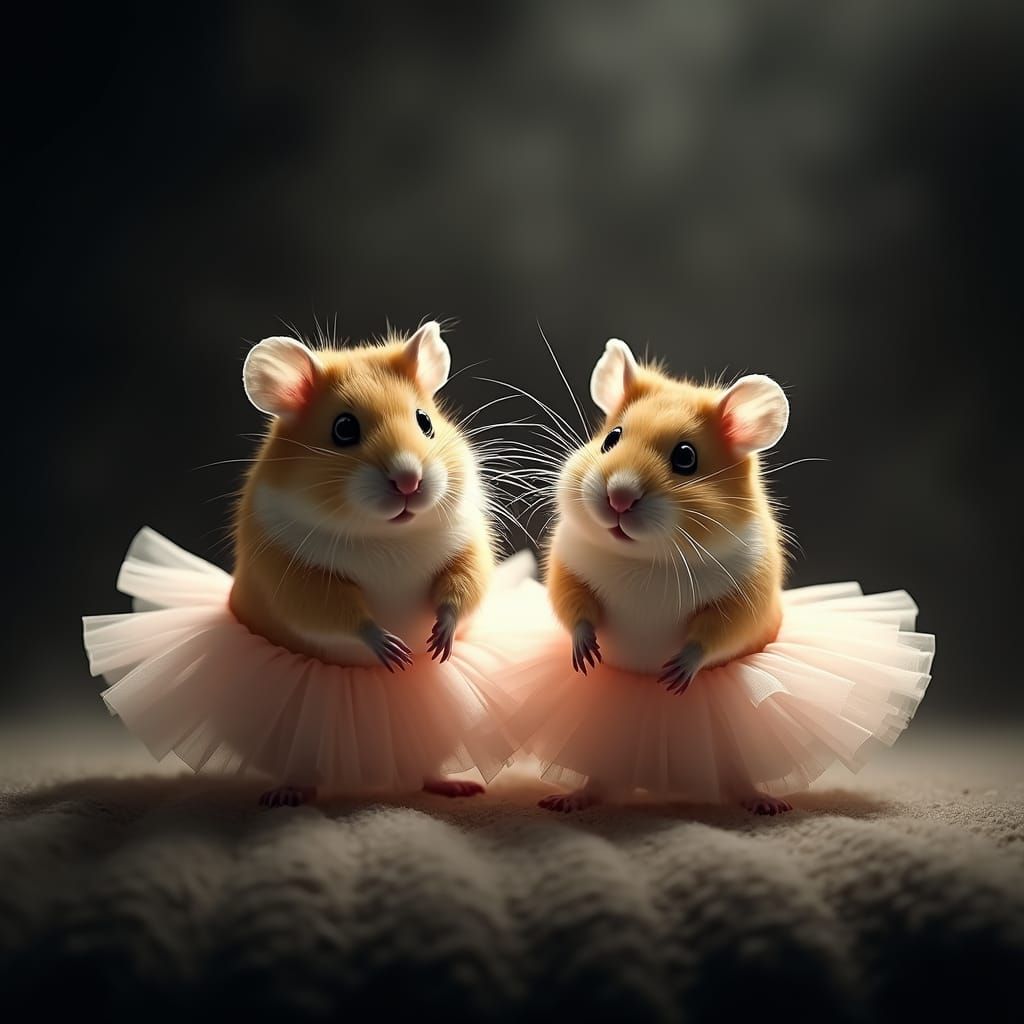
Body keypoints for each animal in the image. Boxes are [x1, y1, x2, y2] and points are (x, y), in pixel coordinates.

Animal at [231, 321, 493, 679]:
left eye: (425, 421)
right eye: (344, 428)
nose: (408, 481)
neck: (391, 537)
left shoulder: (469, 547)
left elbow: (462, 588)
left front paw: (439, 645)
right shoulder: (292, 574)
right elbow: (343, 616)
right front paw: (396, 653)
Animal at [547, 338, 789, 690]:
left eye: (685, 457)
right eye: (611, 438)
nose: (619, 498)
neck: (644, 560)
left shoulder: (745, 598)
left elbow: (714, 637)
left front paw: (674, 678)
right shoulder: (566, 567)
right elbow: (574, 608)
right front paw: (585, 658)